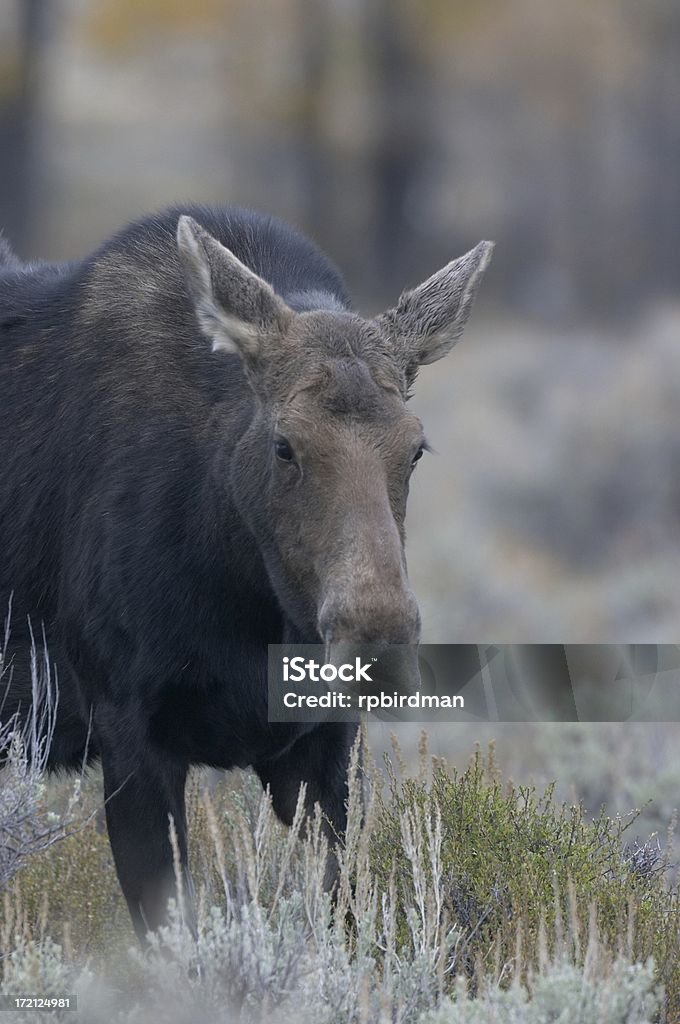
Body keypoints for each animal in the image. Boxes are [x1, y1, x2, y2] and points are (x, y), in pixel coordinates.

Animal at [0, 205, 491, 942]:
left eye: (416, 448)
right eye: (284, 445)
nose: (375, 642)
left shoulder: (320, 744)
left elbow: (344, 913)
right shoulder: (129, 730)